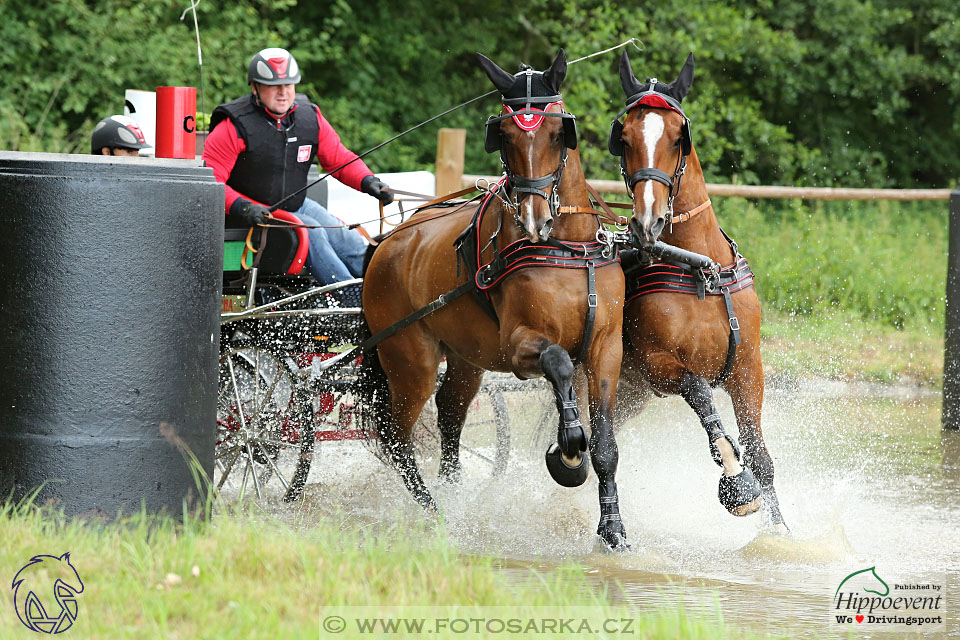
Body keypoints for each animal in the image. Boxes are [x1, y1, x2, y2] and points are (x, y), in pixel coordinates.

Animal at [360, 50, 632, 552]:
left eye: (558, 132)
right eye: (504, 135)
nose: (534, 218)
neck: (566, 247)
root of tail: (388, 241)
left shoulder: (606, 348)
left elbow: (605, 446)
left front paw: (613, 529)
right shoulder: (519, 345)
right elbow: (559, 363)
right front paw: (568, 448)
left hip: (466, 358)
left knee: (449, 415)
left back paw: (454, 493)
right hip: (410, 360)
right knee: (398, 439)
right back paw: (436, 512)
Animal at [616, 50, 788, 532]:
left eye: (679, 138)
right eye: (625, 138)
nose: (648, 220)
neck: (701, 271)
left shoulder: (748, 369)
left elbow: (762, 458)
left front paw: (782, 535)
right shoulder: (659, 366)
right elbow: (701, 395)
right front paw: (734, 476)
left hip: (628, 397)